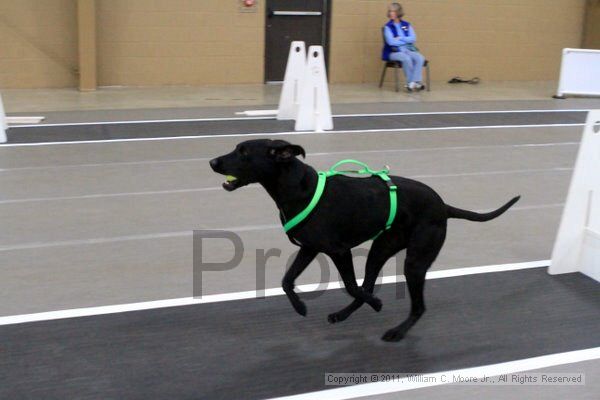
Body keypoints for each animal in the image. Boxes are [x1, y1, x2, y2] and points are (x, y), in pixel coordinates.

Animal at [209, 139, 516, 342]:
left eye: (243, 152)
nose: (212, 162)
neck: (297, 188)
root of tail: (443, 206)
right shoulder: (310, 248)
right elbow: (287, 281)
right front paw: (300, 307)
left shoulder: (339, 251)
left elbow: (350, 285)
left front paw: (377, 304)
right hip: (381, 248)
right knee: (368, 283)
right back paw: (343, 315)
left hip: (415, 261)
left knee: (416, 305)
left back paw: (396, 331)